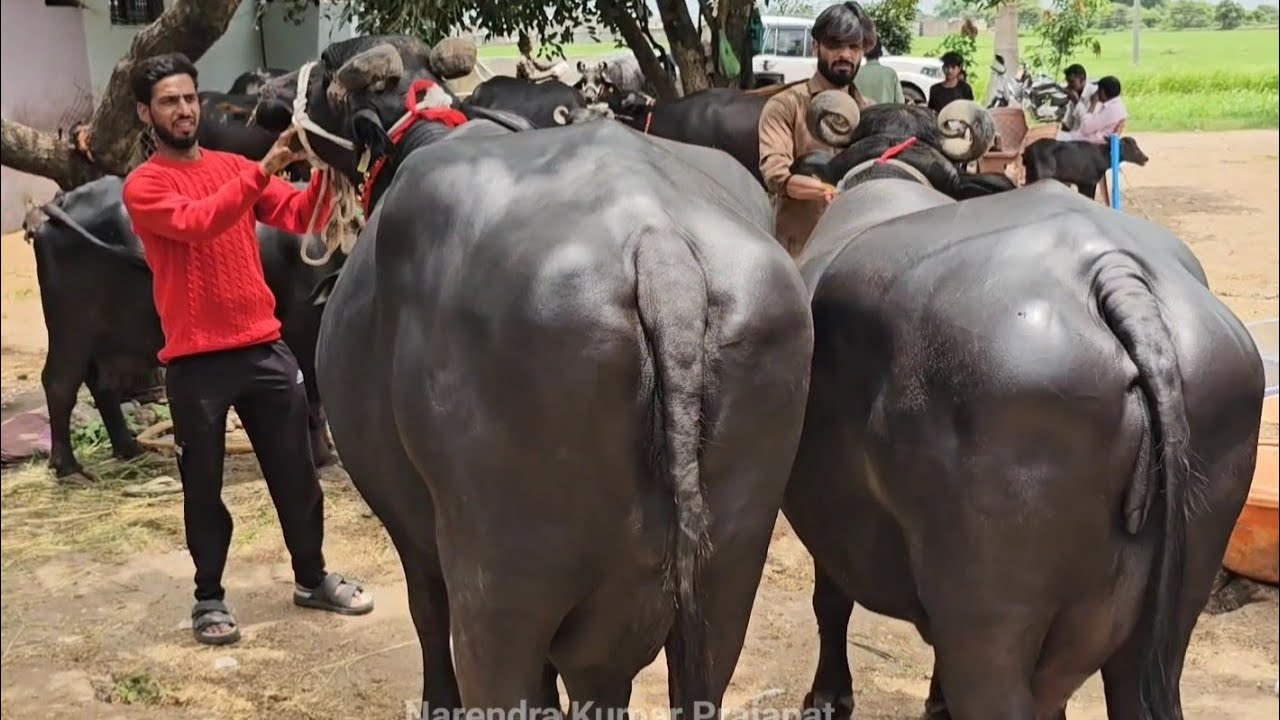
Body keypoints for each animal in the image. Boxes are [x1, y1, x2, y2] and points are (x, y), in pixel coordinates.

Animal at [27, 176, 342, 484]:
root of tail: (61, 202)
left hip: (99, 336)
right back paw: (69, 469)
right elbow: (313, 401)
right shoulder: (302, 332)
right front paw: (323, 458)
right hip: (70, 327)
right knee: (59, 383)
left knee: (100, 383)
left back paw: (129, 448)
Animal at [254, 35, 813, 716]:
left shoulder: (410, 530)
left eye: (327, 70)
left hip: (500, 582)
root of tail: (661, 248)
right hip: (725, 580)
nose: (268, 93)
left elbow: (425, 612)